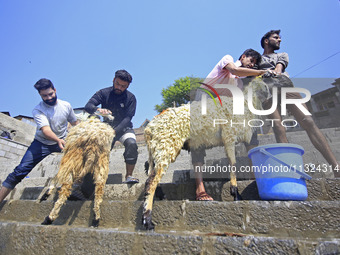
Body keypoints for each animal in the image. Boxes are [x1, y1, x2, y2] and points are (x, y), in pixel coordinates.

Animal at [141, 77, 268, 229]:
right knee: (152, 180)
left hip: (159, 148)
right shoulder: (229, 136)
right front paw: (235, 193)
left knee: (150, 173)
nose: (269, 95)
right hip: (167, 144)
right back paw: (148, 220)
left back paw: (159, 197)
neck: (245, 105)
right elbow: (233, 162)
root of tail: (149, 128)